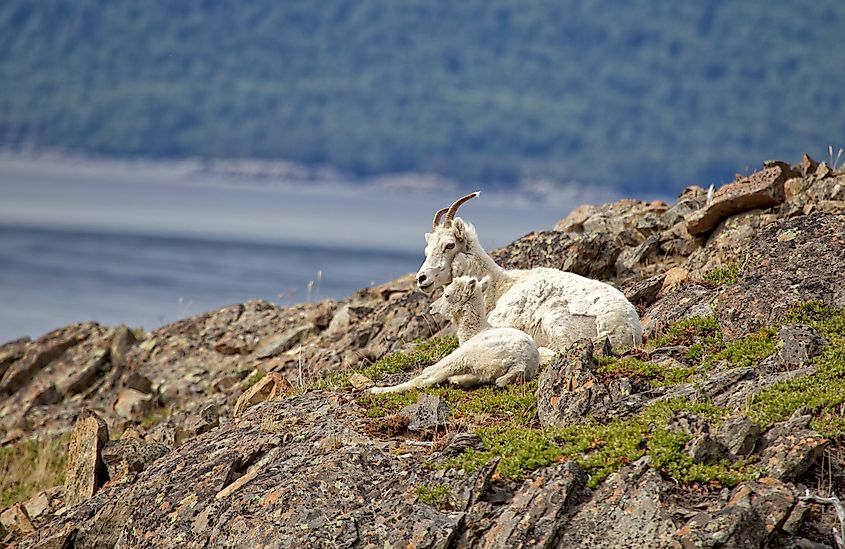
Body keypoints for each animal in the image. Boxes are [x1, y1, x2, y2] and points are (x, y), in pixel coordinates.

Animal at [368, 276, 536, 392]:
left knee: (427, 379)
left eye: (447, 295)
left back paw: (379, 390)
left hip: (468, 355)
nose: (431, 308)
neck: (476, 330)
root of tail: (521, 363)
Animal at [414, 191, 640, 348]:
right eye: (427, 249)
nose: (421, 279)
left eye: (449, 245)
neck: (498, 287)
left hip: (555, 319)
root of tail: (624, 328)